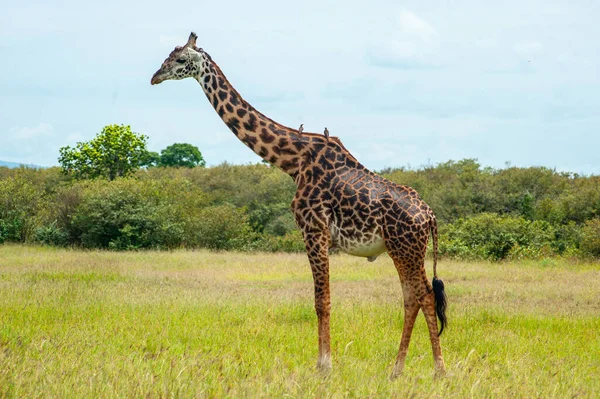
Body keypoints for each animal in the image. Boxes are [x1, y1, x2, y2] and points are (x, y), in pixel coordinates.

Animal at [152, 32, 448, 378]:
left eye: (179, 59)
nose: (154, 77)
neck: (293, 160)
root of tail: (430, 217)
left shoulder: (313, 230)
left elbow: (322, 300)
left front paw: (324, 366)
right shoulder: (316, 234)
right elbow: (323, 299)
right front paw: (324, 363)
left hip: (404, 249)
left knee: (422, 296)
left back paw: (433, 369)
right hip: (404, 250)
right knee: (415, 296)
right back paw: (403, 369)